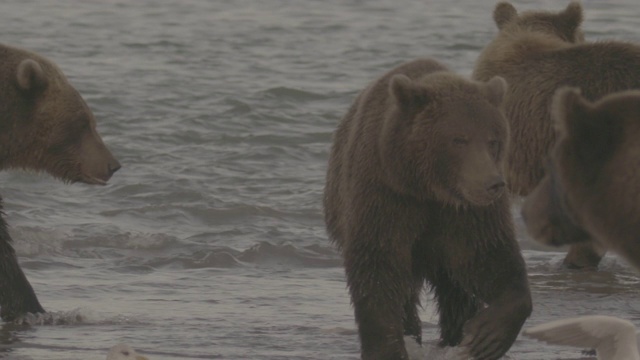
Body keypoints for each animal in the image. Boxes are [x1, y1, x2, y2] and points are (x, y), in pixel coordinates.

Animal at [324, 59, 528, 360]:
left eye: (493, 139)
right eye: (459, 139)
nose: (493, 184)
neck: (429, 188)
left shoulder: (467, 213)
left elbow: (489, 256)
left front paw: (488, 335)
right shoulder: (386, 197)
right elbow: (377, 265)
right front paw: (387, 347)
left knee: (456, 292)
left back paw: (456, 333)